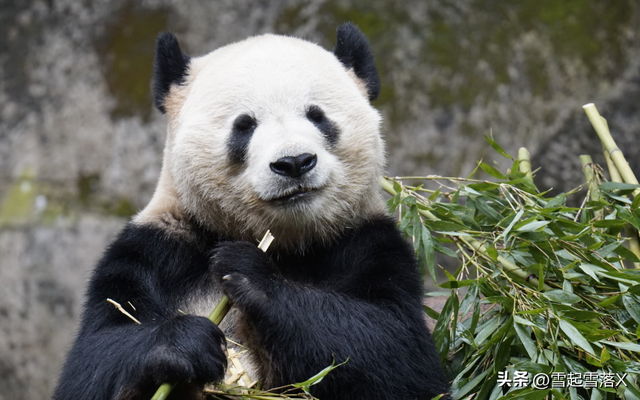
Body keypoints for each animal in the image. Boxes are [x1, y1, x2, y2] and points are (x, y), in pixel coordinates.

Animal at [53, 22, 450, 400]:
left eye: (317, 116)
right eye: (244, 125)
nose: (294, 162)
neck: (286, 242)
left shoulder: (368, 242)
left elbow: (395, 352)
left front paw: (247, 271)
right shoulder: (160, 249)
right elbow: (93, 359)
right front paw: (185, 345)